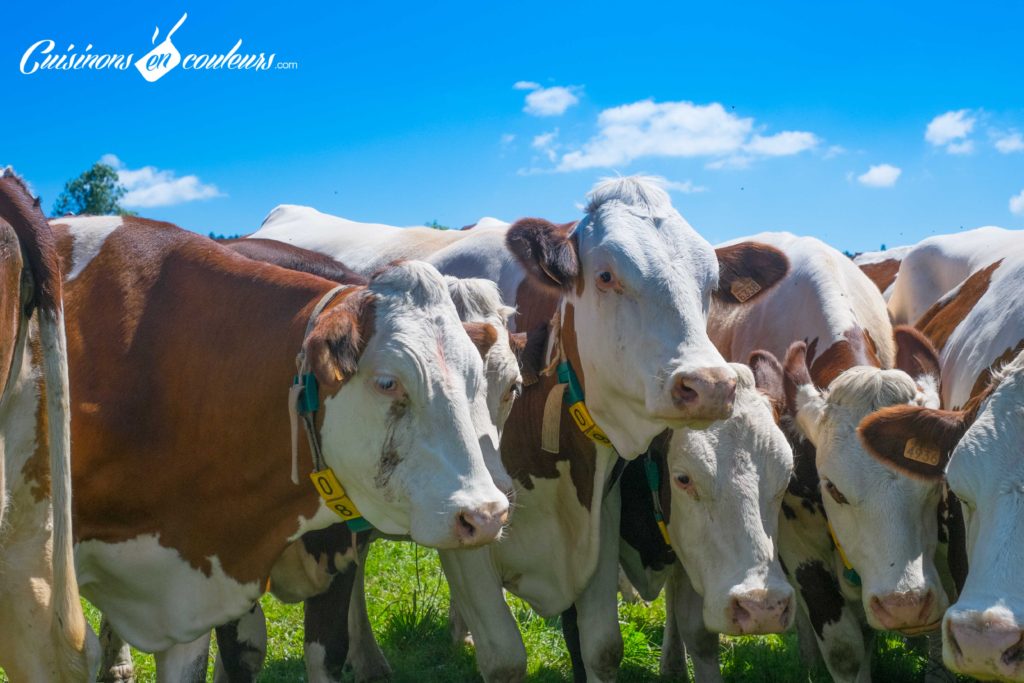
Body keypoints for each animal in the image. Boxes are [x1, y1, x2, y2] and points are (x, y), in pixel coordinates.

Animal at [49, 214, 509, 679]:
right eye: (386, 382)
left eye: (495, 382)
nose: (486, 514)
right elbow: (244, 654)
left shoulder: (330, 556)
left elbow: (327, 652)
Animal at [249, 179, 790, 679]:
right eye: (606, 275)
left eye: (710, 284)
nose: (710, 384)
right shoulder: (466, 523)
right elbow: (505, 657)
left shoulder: (600, 511)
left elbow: (601, 647)